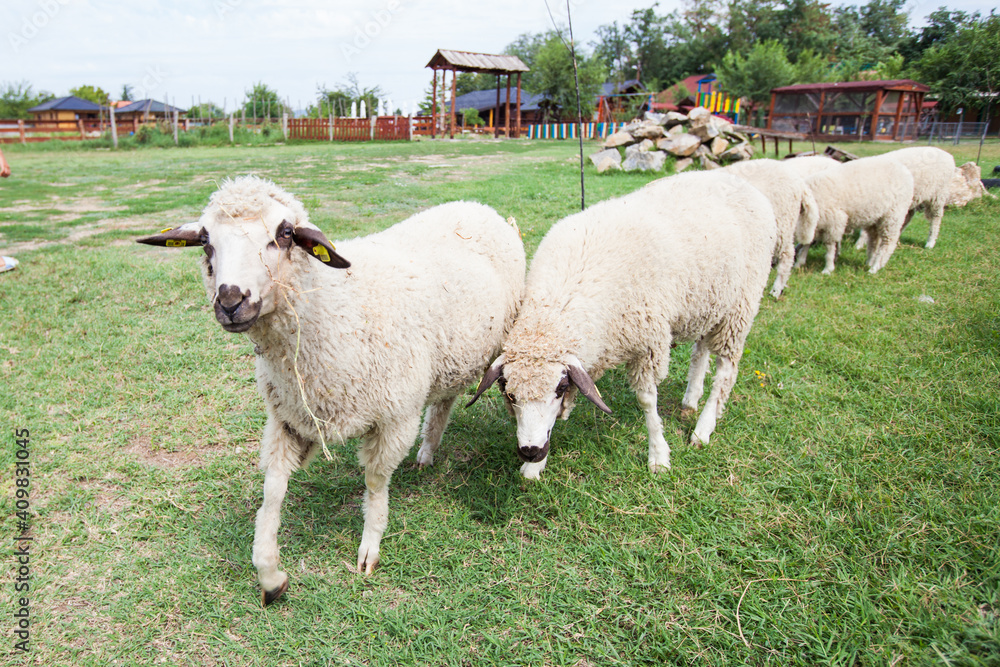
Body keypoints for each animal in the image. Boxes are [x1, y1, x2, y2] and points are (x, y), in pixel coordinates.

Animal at [137, 176, 525, 604]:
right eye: (206, 240)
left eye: (284, 234)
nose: (231, 300)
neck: (336, 309)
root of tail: (477, 206)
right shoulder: (290, 418)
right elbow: (272, 492)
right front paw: (271, 576)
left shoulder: (395, 417)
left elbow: (375, 483)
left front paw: (369, 548)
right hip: (451, 355)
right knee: (445, 399)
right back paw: (427, 451)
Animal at [467, 171, 777, 479]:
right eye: (509, 392)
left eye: (560, 388)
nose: (531, 450)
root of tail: (732, 177)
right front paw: (534, 468)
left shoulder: (648, 343)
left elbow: (647, 402)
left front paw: (658, 455)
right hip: (709, 303)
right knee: (701, 351)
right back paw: (690, 400)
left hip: (740, 307)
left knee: (725, 371)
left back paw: (703, 428)